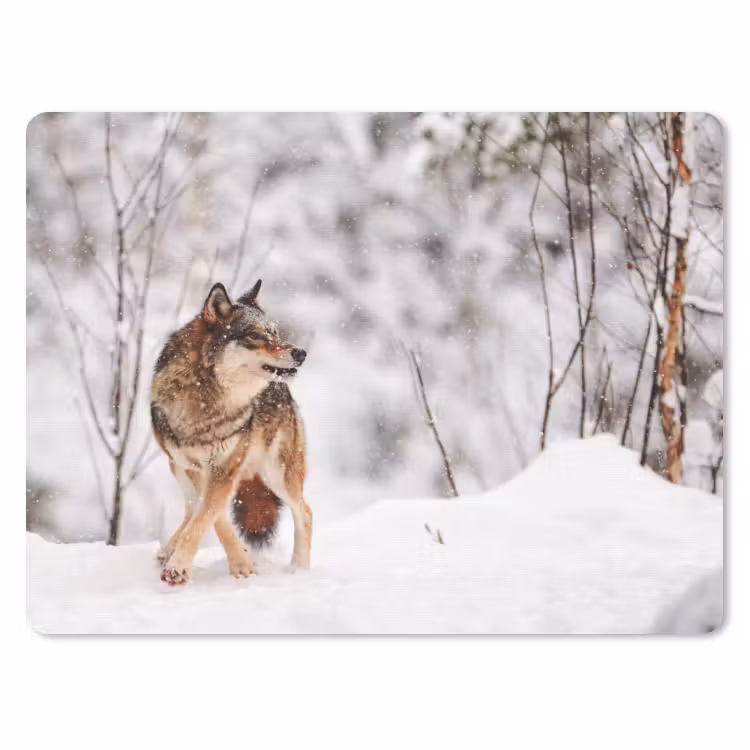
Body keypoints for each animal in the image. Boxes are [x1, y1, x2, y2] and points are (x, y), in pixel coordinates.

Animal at [150, 279, 311, 585]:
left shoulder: (225, 467)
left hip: (277, 474)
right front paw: (241, 562)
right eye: (255, 336)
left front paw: (181, 567)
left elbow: (206, 517)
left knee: (305, 513)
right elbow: (212, 518)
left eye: (275, 332)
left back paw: (300, 569)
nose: (301, 353)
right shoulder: (196, 467)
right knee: (191, 508)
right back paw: (168, 548)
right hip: (177, 467)